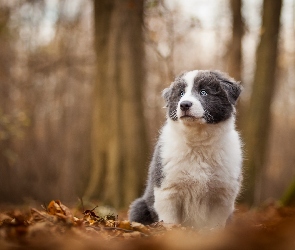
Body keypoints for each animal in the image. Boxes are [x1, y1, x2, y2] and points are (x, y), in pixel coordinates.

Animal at [129, 70, 243, 229]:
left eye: (203, 92)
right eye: (181, 93)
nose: (184, 104)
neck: (198, 143)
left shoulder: (222, 194)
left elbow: (215, 225)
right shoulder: (167, 191)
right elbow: (169, 222)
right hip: (139, 206)